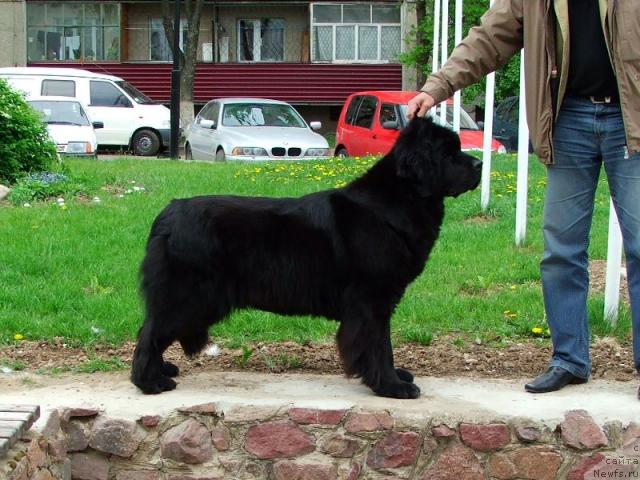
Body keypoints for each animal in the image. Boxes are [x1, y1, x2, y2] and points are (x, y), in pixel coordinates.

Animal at [131, 118, 480, 400]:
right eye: (449, 153)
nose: (478, 165)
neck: (396, 202)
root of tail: (167, 215)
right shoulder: (371, 299)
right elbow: (378, 345)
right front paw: (392, 386)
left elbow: (383, 345)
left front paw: (395, 377)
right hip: (188, 296)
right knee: (150, 333)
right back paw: (150, 382)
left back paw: (163, 370)